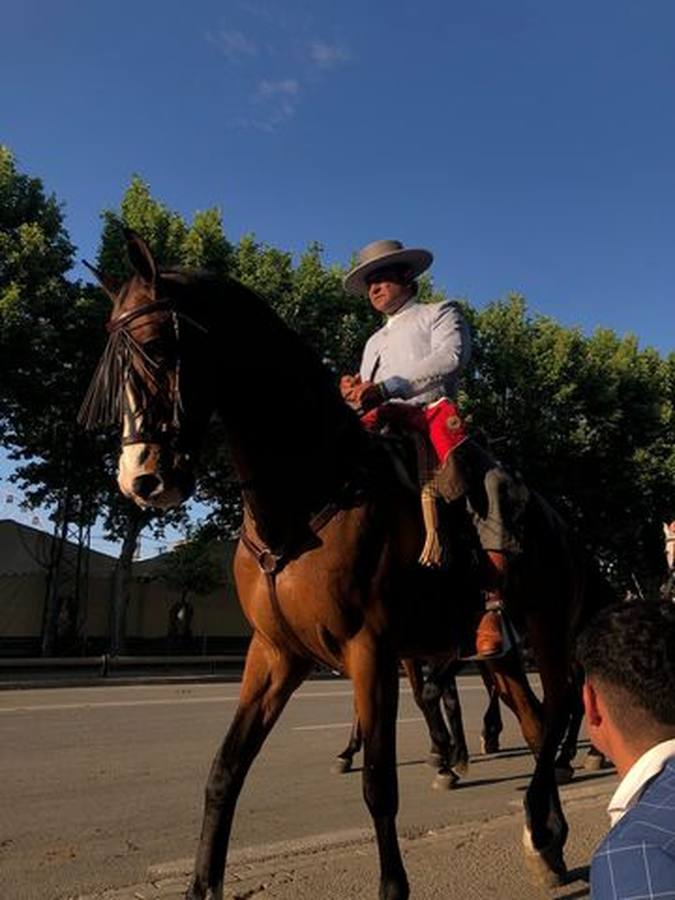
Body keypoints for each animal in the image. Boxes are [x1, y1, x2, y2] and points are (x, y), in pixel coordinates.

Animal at [82, 230, 616, 900]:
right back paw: (544, 834)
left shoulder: (372, 650)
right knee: (537, 719)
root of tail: (565, 527)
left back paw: (550, 807)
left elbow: (379, 785)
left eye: (155, 346)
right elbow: (225, 769)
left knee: (560, 707)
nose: (141, 480)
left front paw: (394, 881)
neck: (304, 500)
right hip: (501, 652)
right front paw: (202, 884)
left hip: (547, 629)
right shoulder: (275, 653)